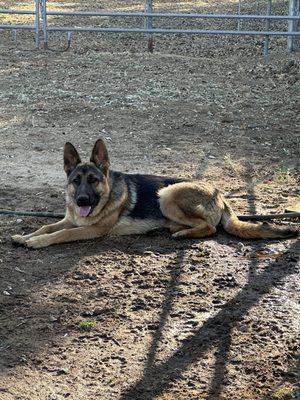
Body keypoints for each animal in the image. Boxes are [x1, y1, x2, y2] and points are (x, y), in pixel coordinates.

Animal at [11, 139, 298, 248]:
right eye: (75, 181)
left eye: (93, 180)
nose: (81, 200)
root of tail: (219, 194)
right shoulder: (70, 219)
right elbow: (47, 226)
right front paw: (25, 236)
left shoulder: (91, 229)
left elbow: (61, 234)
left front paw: (36, 242)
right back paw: (175, 229)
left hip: (167, 194)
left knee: (210, 227)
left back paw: (182, 233)